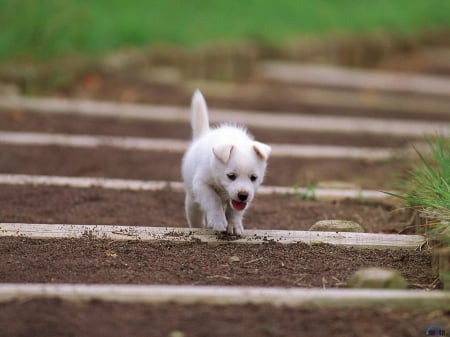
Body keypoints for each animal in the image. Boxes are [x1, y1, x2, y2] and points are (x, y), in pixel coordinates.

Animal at [180, 90, 270, 235]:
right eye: (231, 176)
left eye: (254, 178)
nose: (243, 195)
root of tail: (202, 136)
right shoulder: (201, 184)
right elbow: (213, 200)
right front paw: (218, 221)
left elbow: (235, 210)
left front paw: (234, 225)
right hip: (192, 201)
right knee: (195, 216)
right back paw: (197, 228)